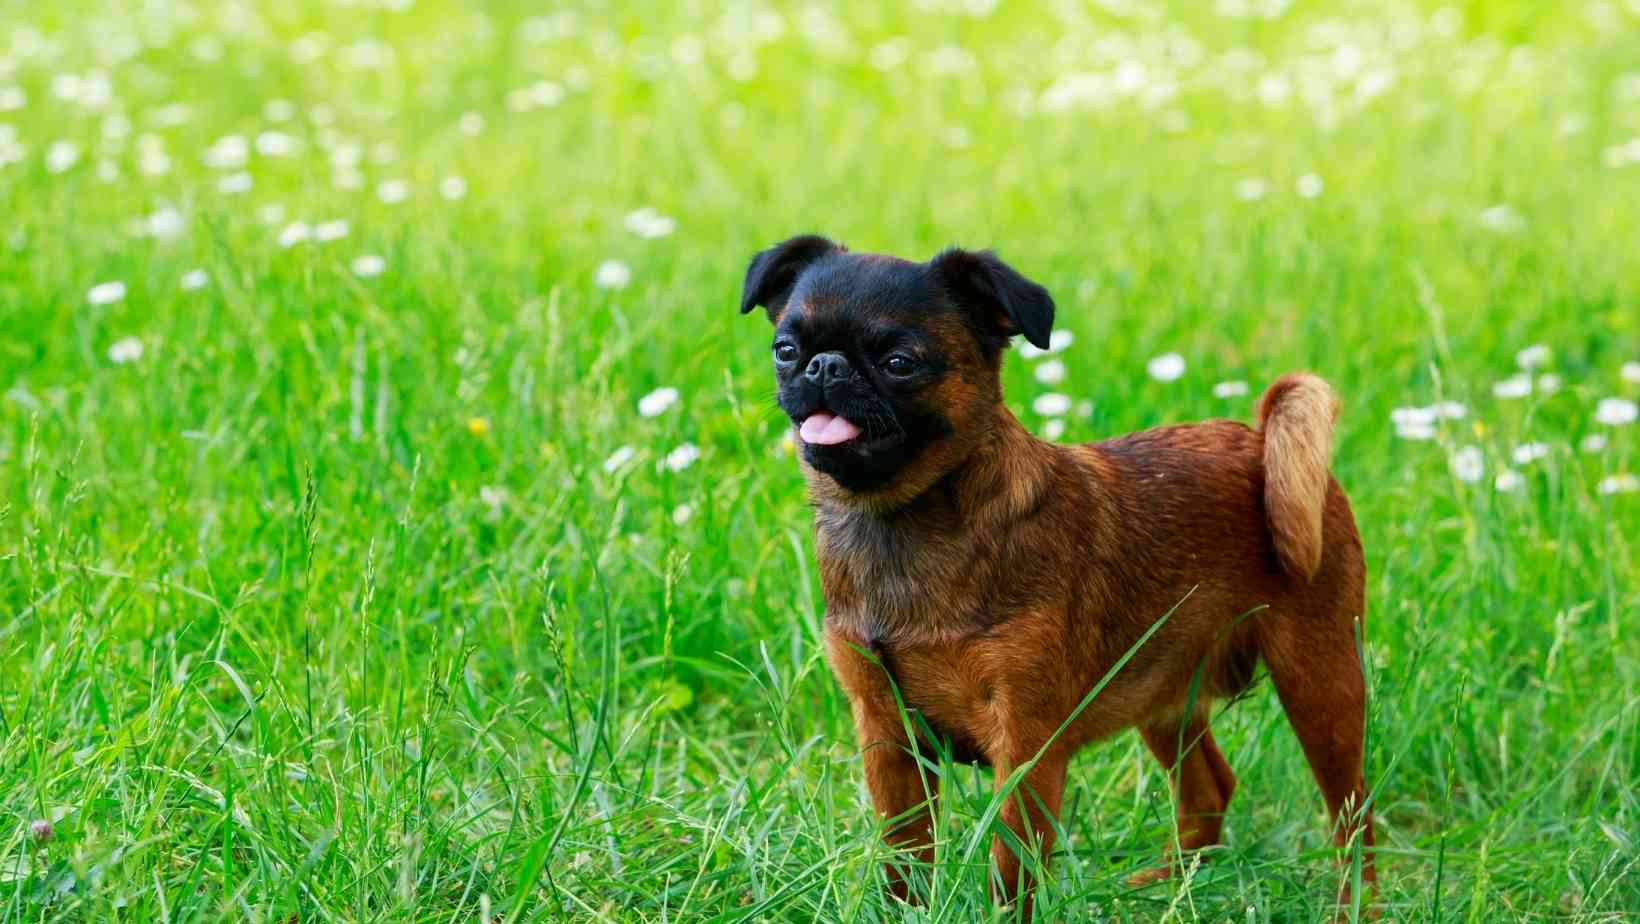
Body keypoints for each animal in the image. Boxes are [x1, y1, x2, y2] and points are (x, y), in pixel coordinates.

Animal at [744, 236, 1371, 919]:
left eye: (899, 362)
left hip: (1320, 681)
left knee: (1353, 816)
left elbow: (1010, 866)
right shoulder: (886, 736)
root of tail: (1259, 442)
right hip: (1164, 691)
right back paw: (1165, 889)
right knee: (1209, 788)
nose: (825, 367)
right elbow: (904, 858)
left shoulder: (1025, 746)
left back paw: (1351, 906)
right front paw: (902, 910)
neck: (903, 521)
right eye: (784, 350)